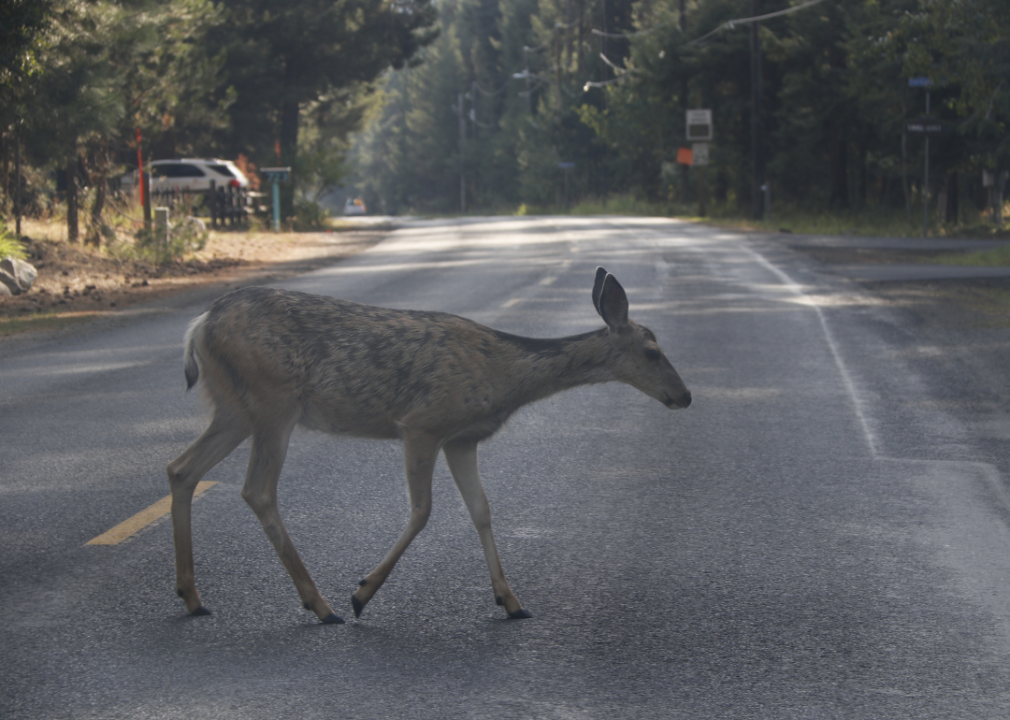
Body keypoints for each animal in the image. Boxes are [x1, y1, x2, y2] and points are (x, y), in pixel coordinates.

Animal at [167, 266, 686, 622]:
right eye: (652, 352)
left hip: (235, 406)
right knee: (256, 489)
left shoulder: (463, 439)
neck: (504, 376)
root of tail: (199, 325)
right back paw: (321, 604)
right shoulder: (423, 424)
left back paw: (193, 597)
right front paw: (362, 593)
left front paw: (511, 600)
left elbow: (481, 510)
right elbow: (422, 511)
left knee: (182, 468)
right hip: (274, 400)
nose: (685, 395)